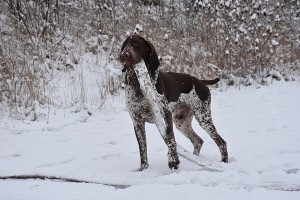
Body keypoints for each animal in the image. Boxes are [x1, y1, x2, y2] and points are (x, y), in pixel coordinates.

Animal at [119, 34, 227, 170]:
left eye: (136, 44)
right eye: (125, 44)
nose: (124, 54)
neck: (137, 83)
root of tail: (200, 81)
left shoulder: (166, 114)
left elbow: (170, 138)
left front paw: (173, 161)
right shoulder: (137, 121)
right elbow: (142, 149)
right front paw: (143, 169)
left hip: (203, 117)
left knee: (221, 142)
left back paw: (224, 162)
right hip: (181, 122)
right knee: (198, 141)